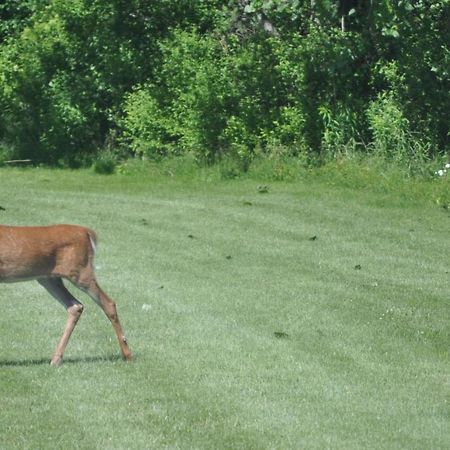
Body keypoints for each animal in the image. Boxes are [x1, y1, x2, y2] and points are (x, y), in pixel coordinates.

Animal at [0, 225, 132, 366]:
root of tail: (87, 232)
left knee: (108, 303)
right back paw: (56, 359)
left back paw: (128, 355)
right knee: (75, 305)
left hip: (80, 271)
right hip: (49, 278)